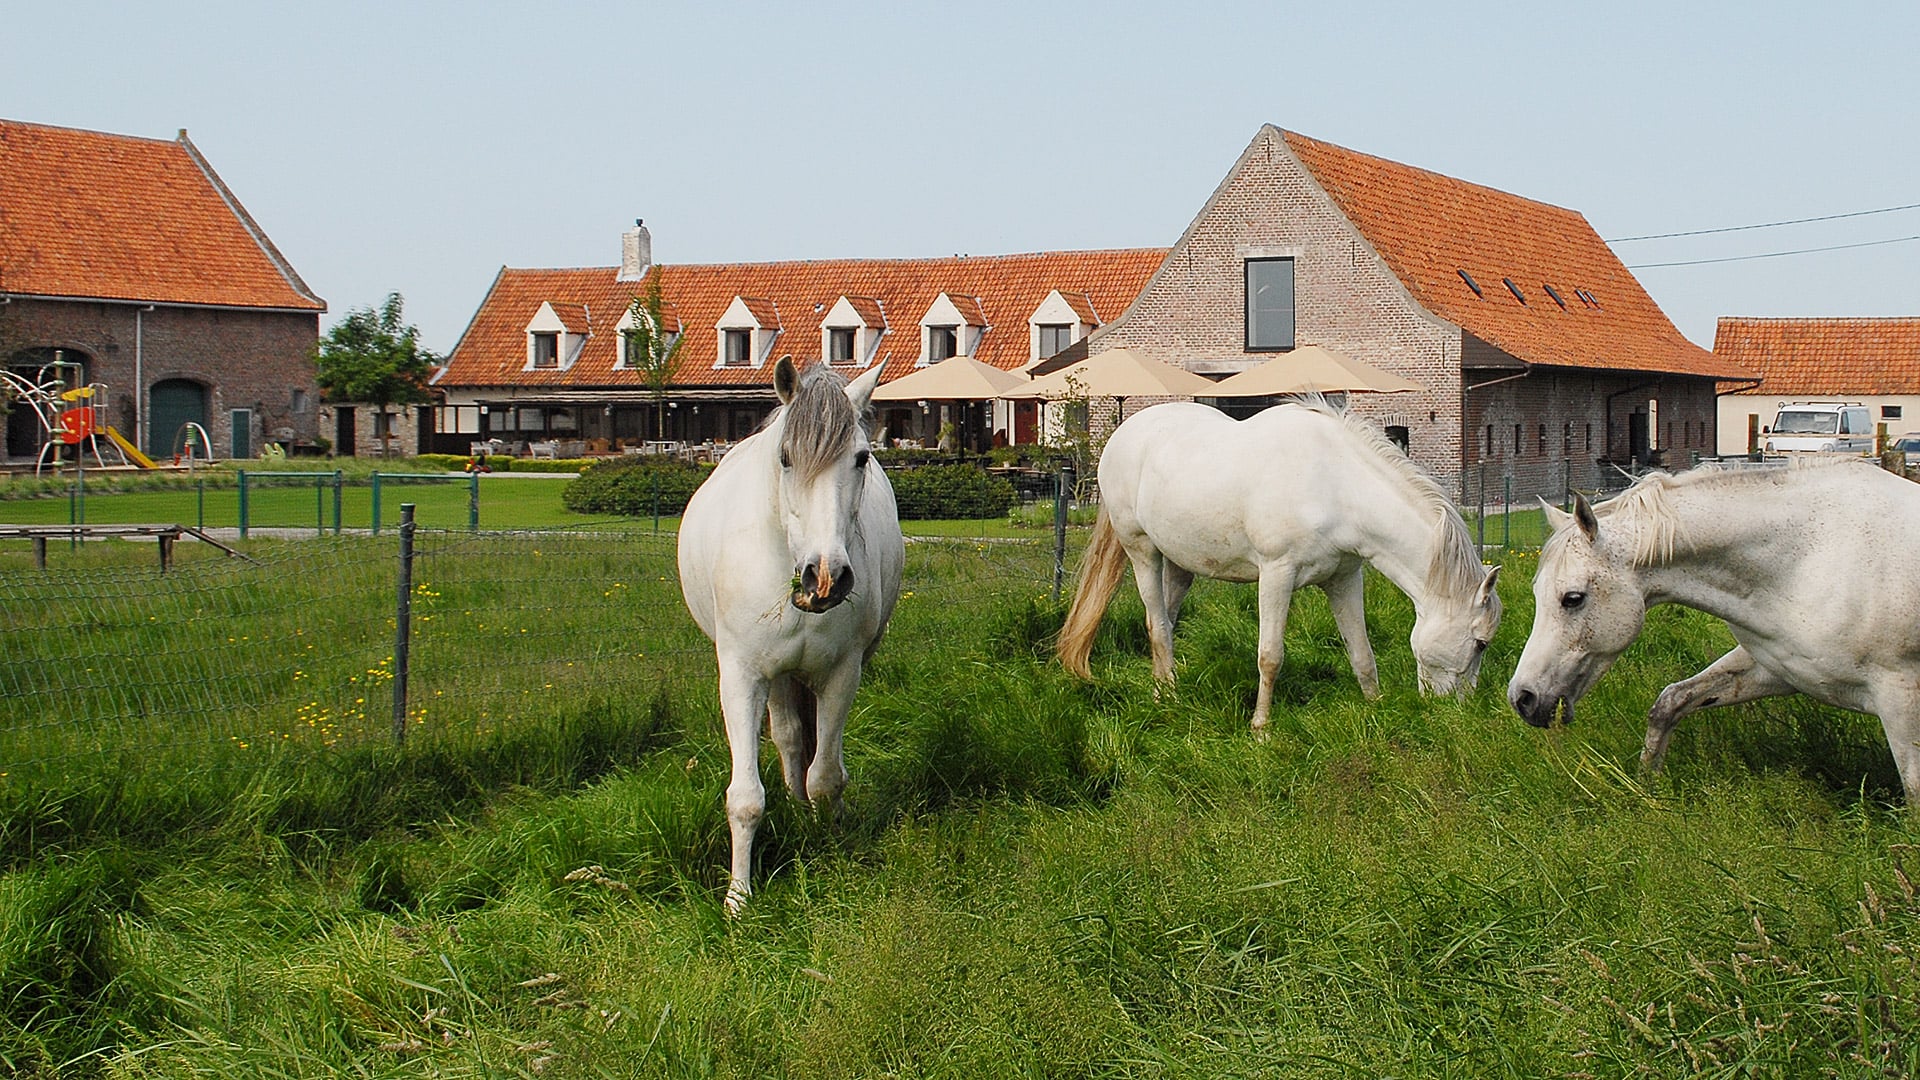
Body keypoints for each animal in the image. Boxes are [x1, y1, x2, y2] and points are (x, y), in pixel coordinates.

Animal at [683, 355, 906, 907]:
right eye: (786, 458)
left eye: (861, 458)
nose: (825, 577)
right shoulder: (741, 677)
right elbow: (745, 797)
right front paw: (738, 899)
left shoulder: (842, 675)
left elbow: (826, 775)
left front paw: (830, 844)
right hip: (775, 677)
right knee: (786, 738)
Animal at [1059, 397, 1505, 730]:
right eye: (1480, 643)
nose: (1458, 711)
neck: (1336, 485)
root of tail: (1122, 435)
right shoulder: (1277, 574)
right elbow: (1270, 656)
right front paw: (1261, 728)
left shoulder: (1344, 578)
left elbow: (1361, 652)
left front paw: (1375, 706)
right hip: (1142, 552)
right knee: (1156, 625)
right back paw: (1166, 698)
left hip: (1180, 564)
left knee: (1166, 624)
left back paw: (1163, 692)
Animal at [1512, 457, 1920, 803]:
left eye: (1573, 598)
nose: (1523, 698)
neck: (1806, 559)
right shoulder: (1777, 668)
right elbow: (1671, 702)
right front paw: (1646, 785)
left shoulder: (1900, 698)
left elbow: (1913, 792)